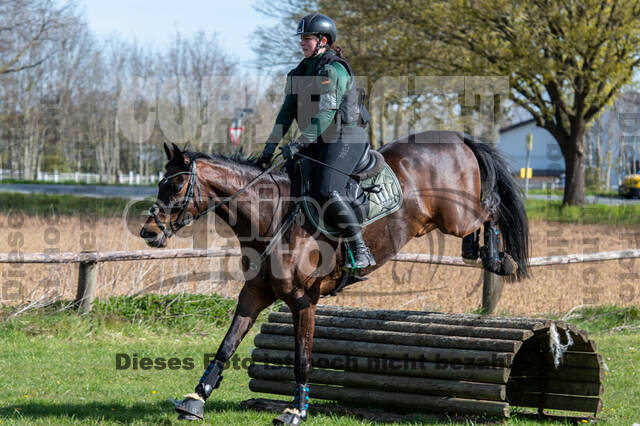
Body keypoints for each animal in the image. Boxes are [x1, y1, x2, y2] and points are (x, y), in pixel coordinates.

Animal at [138, 131, 528, 424]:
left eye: (176, 188)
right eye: (158, 184)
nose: (148, 232)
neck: (272, 216)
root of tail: (456, 137)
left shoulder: (303, 300)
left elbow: (303, 358)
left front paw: (296, 411)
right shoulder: (254, 293)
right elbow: (227, 345)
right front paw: (196, 398)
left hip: (456, 215)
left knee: (491, 209)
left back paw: (499, 260)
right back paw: (477, 252)